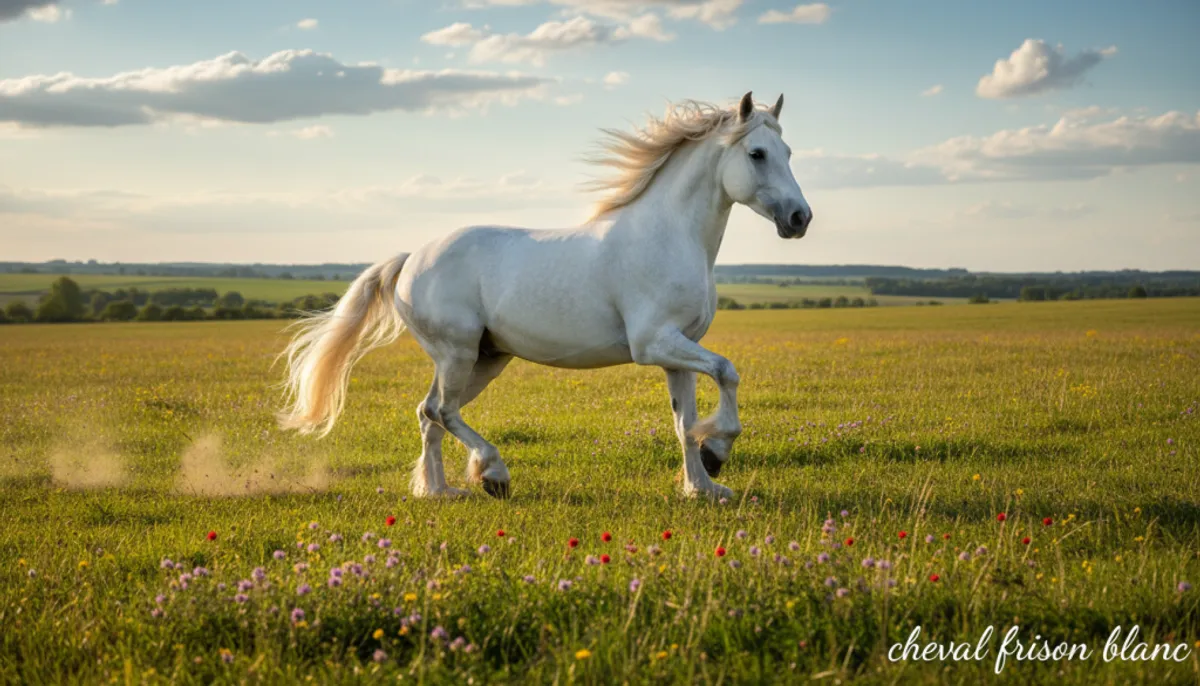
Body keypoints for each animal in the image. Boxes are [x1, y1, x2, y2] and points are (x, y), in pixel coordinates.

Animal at [277, 91, 812, 500]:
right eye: (757, 154)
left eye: (789, 153)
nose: (800, 218)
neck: (669, 237)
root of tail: (411, 259)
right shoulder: (654, 344)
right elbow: (727, 371)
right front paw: (716, 453)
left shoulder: (677, 353)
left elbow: (685, 421)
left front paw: (704, 486)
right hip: (456, 352)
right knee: (442, 411)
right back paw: (492, 474)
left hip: (484, 358)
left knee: (427, 413)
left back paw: (440, 491)